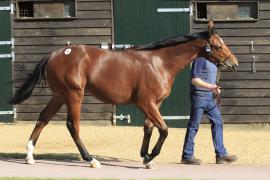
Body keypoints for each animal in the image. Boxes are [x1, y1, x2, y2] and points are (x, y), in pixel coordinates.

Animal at [10, 20, 238, 169]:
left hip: (58, 96)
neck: (159, 63)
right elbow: (164, 130)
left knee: (43, 119)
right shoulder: (146, 103)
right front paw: (150, 157)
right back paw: (91, 159)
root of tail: (54, 54)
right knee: (72, 126)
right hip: (74, 96)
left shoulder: (155, 104)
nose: (234, 63)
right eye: (218, 45)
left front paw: (145, 157)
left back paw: (29, 156)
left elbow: (148, 128)